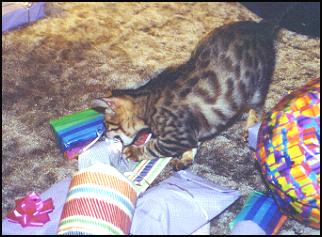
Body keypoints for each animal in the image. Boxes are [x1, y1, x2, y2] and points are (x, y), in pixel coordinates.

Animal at [91, 19, 280, 168]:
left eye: (108, 125)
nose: (105, 135)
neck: (147, 101)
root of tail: (259, 27)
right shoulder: (192, 131)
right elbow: (194, 142)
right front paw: (187, 157)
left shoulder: (177, 137)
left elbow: (154, 146)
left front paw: (135, 151)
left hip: (258, 88)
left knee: (258, 109)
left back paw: (250, 127)